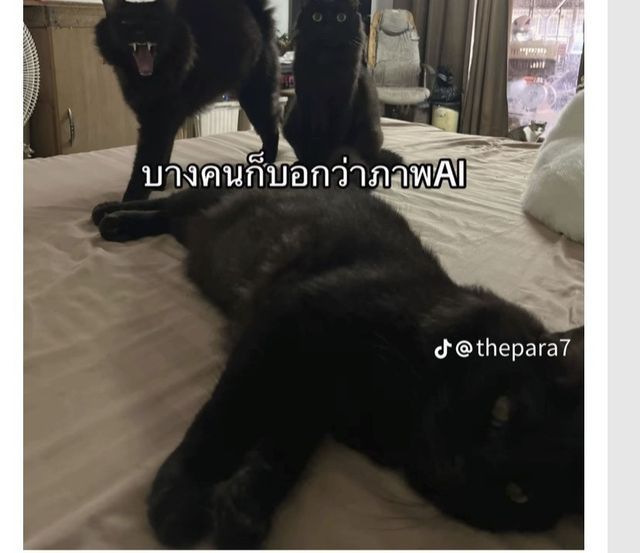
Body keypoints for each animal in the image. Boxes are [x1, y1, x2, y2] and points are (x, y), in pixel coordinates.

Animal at [91, 186, 583, 549]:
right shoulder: (289, 324)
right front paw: (181, 496)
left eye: (519, 494)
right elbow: (226, 415)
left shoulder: (312, 392)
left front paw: (244, 508)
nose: (462, 463)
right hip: (207, 200)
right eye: (502, 409)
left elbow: (284, 450)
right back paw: (109, 214)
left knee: (169, 214)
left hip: (195, 228)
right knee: (163, 199)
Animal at [96, 0, 281, 201]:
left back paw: (267, 162)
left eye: (155, 20)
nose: (139, 31)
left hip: (255, 97)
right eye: (125, 22)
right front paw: (159, 186)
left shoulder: (157, 122)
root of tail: (259, 16)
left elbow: (146, 163)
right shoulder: (161, 122)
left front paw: (129, 200)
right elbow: (163, 155)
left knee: (272, 130)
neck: (146, 79)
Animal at [283, 0, 403, 167]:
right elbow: (312, 137)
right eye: (316, 17)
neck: (326, 63)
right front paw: (312, 163)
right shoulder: (307, 101)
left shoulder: (344, 101)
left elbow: (336, 139)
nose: (328, 28)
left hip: (371, 133)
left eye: (341, 17)